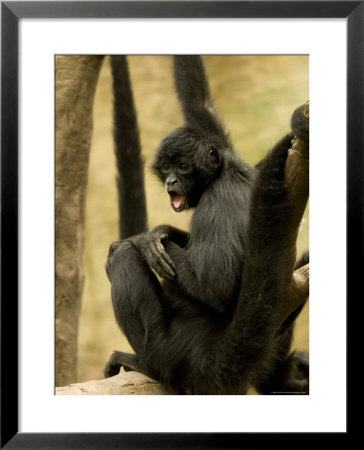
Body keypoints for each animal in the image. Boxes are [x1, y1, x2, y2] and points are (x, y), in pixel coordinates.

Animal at [104, 55, 308, 394]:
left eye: (184, 166)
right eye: (166, 167)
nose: (172, 181)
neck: (225, 170)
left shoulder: (217, 200)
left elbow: (214, 286)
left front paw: (144, 239)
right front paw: (163, 232)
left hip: (169, 346)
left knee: (123, 258)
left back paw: (148, 364)